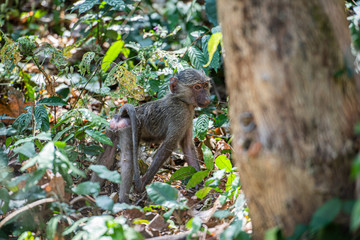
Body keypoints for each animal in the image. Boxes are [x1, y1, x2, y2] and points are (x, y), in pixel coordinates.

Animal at [91, 68, 212, 202]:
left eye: (205, 85)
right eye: (197, 87)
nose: (207, 98)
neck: (180, 99)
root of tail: (122, 115)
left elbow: (187, 145)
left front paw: (199, 182)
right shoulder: (181, 114)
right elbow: (168, 146)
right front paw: (143, 184)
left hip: (112, 127)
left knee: (106, 157)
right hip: (129, 129)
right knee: (128, 160)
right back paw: (124, 202)